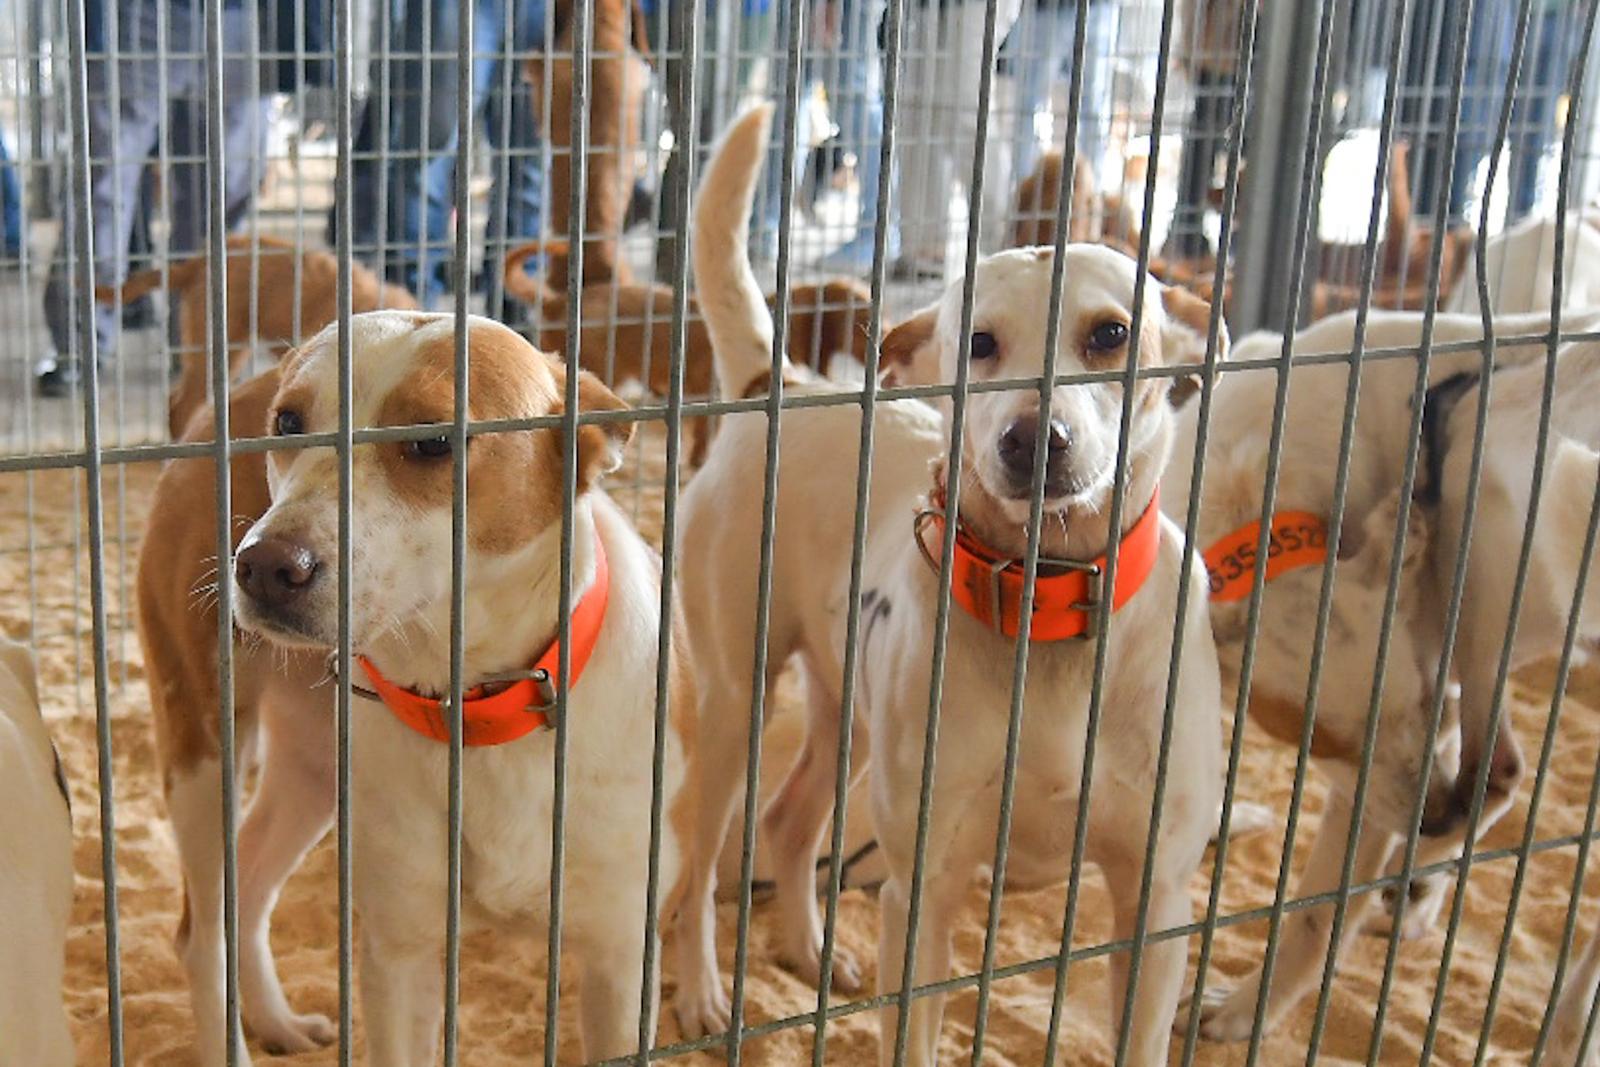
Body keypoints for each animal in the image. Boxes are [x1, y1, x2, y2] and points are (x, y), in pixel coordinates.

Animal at [145, 313, 700, 1062]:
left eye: (434, 439)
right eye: (288, 423)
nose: (263, 566)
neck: (480, 703)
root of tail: (224, 403)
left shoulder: (622, 955)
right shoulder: (398, 952)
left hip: (312, 769)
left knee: (252, 888)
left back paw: (278, 1022)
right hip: (204, 750)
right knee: (202, 932)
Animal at [675, 102, 1235, 1067]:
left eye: (1111, 333)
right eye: (976, 343)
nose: (1031, 438)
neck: (1048, 605)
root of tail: (782, 383)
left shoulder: (1155, 906)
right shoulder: (923, 892)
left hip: (848, 715)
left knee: (788, 822)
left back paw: (810, 949)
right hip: (732, 704)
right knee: (701, 856)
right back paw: (706, 990)